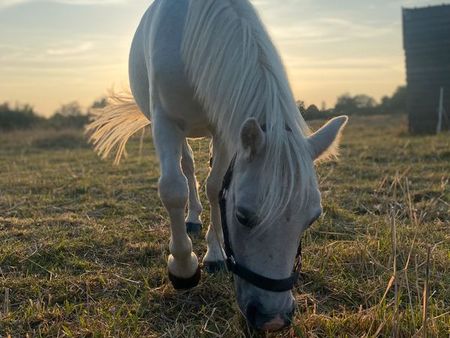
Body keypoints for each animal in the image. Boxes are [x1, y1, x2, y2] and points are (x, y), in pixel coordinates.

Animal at [87, 0, 348, 332]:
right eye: (242, 216)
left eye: (312, 219)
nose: (273, 319)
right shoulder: (164, 121)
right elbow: (173, 190)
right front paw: (184, 268)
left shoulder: (224, 129)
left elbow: (216, 186)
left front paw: (214, 254)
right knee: (186, 168)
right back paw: (192, 219)